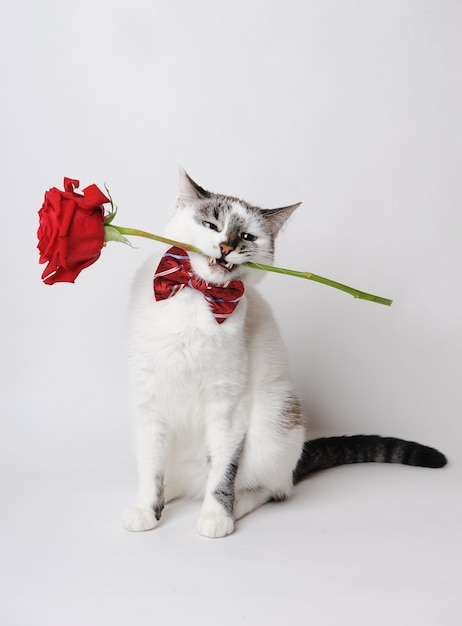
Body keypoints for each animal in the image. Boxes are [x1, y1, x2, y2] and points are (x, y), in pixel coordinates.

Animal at [123, 167, 448, 536]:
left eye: (247, 237)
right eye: (210, 225)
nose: (226, 246)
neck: (197, 295)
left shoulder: (228, 407)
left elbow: (223, 472)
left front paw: (218, 516)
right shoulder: (150, 402)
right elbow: (151, 467)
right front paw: (146, 509)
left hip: (274, 423)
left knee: (270, 489)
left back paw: (236, 506)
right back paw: (174, 492)